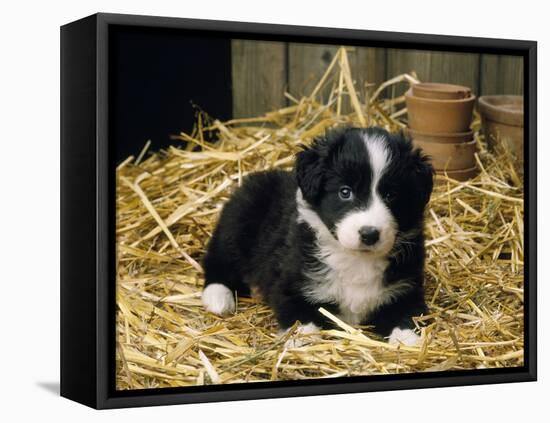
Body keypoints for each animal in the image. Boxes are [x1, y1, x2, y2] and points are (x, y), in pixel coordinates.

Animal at [203, 127, 436, 346]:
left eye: (391, 195)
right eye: (345, 192)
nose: (369, 234)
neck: (356, 260)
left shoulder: (404, 290)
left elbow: (408, 318)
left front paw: (408, 342)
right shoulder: (293, 286)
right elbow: (302, 320)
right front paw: (300, 340)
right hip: (237, 225)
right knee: (217, 260)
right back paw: (218, 298)